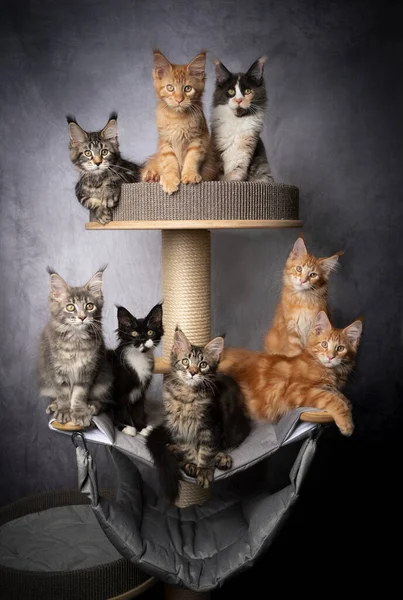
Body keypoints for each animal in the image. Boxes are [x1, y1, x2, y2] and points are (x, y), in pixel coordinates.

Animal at [37, 266, 112, 426]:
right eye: (70, 307)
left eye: (89, 306)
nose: (82, 317)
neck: (76, 341)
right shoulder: (56, 370)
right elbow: (63, 393)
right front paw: (64, 410)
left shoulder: (87, 371)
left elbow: (79, 394)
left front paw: (79, 412)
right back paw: (54, 405)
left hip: (104, 379)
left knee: (104, 402)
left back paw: (92, 406)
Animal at [109, 304, 164, 436]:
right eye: (134, 334)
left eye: (150, 332)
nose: (143, 339)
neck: (139, 358)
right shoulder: (119, 393)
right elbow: (121, 411)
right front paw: (127, 427)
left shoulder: (140, 392)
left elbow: (138, 410)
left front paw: (142, 427)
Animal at [141, 50, 219, 195]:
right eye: (170, 88)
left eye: (187, 88)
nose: (179, 99)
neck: (178, 118)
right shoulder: (165, 141)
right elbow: (170, 161)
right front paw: (170, 179)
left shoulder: (199, 138)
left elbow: (192, 157)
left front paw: (189, 175)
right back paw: (152, 176)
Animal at [147, 328, 251, 502]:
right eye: (185, 362)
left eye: (203, 365)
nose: (193, 372)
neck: (187, 396)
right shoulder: (178, 426)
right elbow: (188, 448)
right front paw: (192, 464)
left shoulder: (210, 425)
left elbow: (206, 450)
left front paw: (203, 470)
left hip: (235, 427)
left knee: (226, 444)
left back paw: (221, 457)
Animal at [221, 310, 362, 436]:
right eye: (324, 344)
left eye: (340, 348)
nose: (330, 357)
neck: (330, 372)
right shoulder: (296, 389)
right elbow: (332, 399)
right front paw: (347, 423)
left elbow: (339, 395)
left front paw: (346, 401)